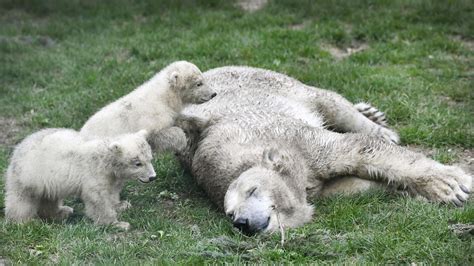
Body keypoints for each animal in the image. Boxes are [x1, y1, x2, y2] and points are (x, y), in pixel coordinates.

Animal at [177, 66, 470, 235]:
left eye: (252, 190)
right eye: (229, 213)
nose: (242, 223)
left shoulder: (296, 140)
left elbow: (357, 148)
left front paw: (451, 185)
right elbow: (348, 189)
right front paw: (400, 190)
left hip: (273, 82)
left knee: (331, 102)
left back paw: (376, 124)